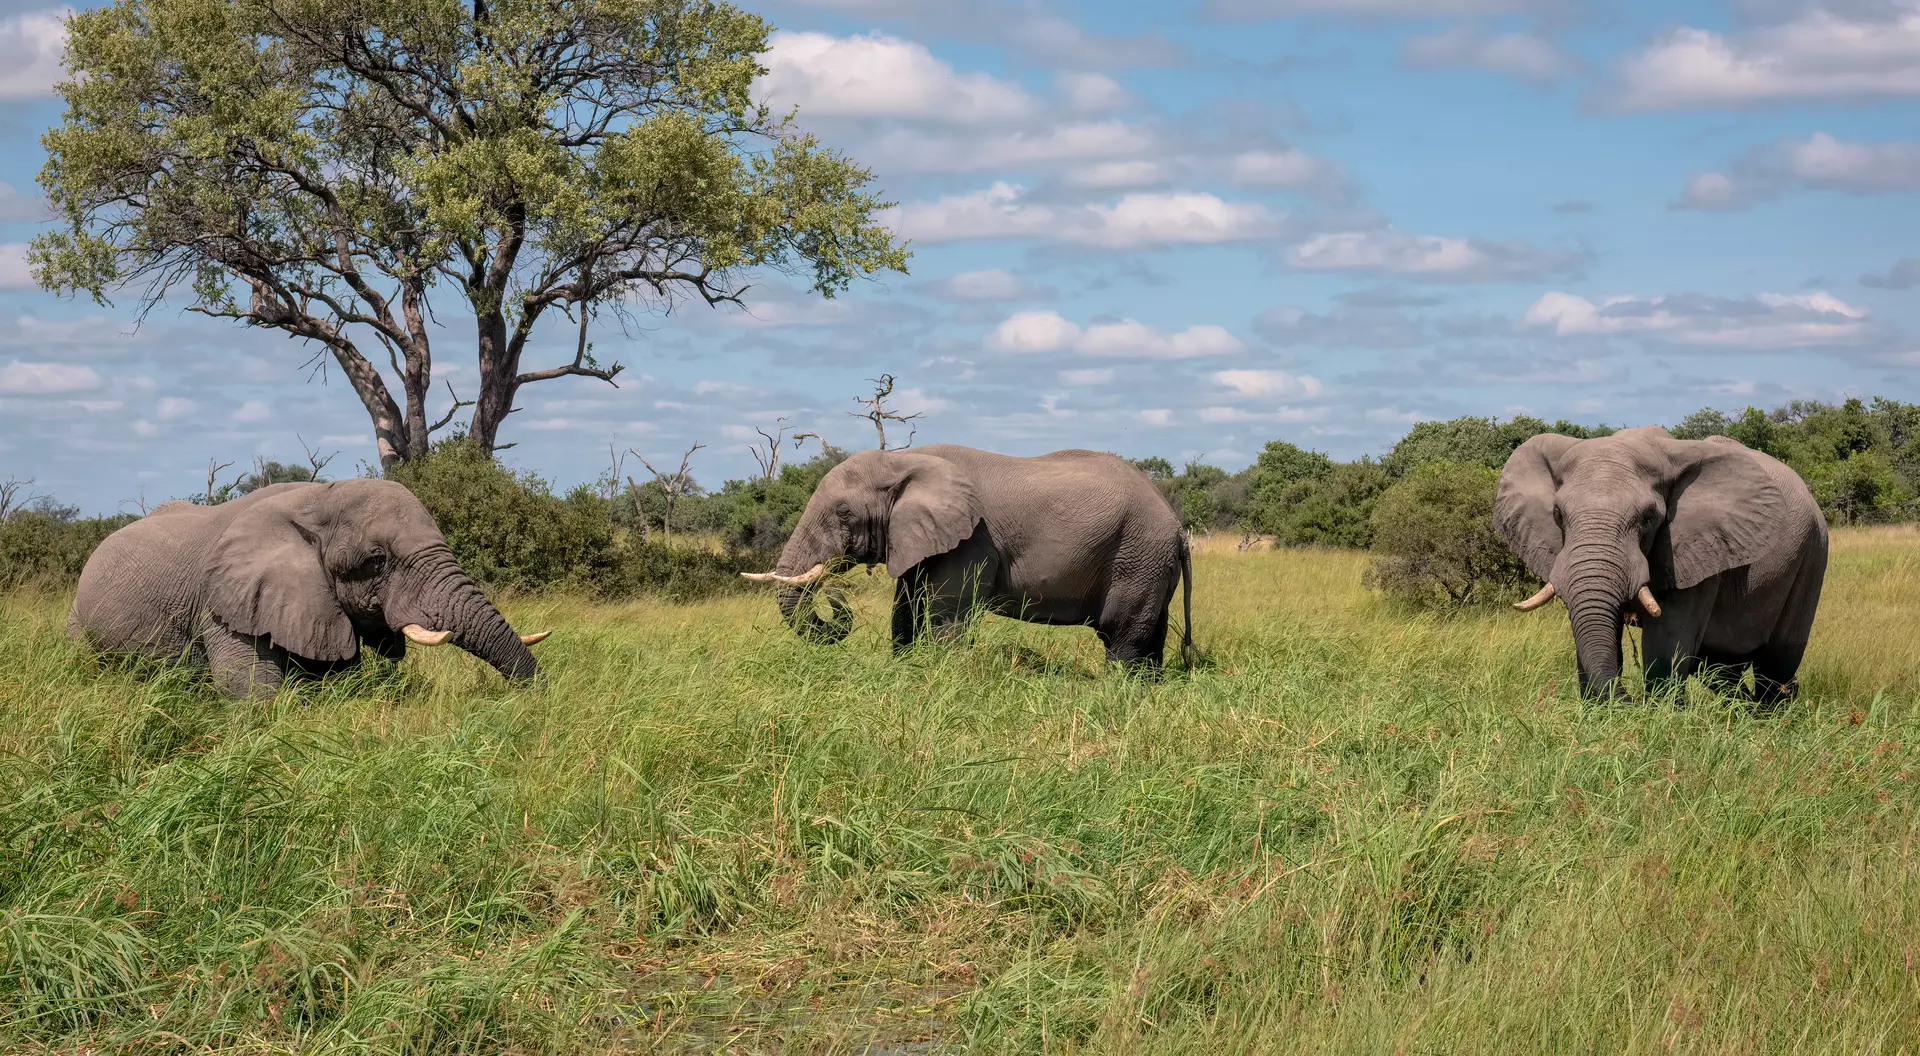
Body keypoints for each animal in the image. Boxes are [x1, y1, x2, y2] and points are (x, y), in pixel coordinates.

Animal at [742, 444, 1194, 670]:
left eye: (843, 514)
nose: (833, 590)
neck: (905, 460)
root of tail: (1177, 527)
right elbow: (905, 608)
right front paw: (905, 672)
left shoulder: (972, 538)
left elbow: (946, 615)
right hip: (1151, 563)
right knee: (1149, 632)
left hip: (1137, 554)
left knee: (1121, 634)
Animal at [1494, 425, 1827, 703]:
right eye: (1558, 514)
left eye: (1648, 518)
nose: (1626, 698)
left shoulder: (1696, 553)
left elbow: (1665, 647)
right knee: (1722, 668)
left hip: (1812, 554)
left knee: (1776, 666)